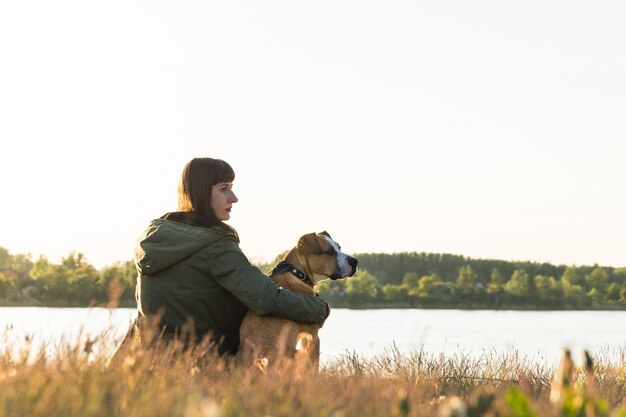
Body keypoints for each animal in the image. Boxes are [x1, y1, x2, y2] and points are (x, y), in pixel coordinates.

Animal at [235, 231, 356, 370]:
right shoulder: (312, 336)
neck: (298, 273)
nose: (355, 261)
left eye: (339, 248)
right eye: (329, 252)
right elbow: (315, 368)